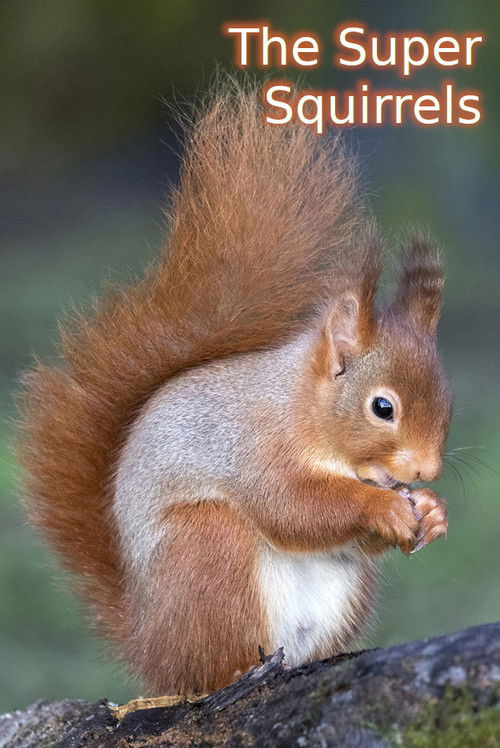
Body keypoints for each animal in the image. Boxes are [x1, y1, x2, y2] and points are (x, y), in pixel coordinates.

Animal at [18, 84, 452, 698]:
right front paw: (384, 507)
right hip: (207, 548)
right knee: (212, 665)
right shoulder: (252, 447)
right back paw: (239, 674)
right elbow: (293, 506)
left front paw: (432, 512)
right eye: (382, 407)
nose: (426, 471)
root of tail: (152, 647)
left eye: (448, 400)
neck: (302, 407)